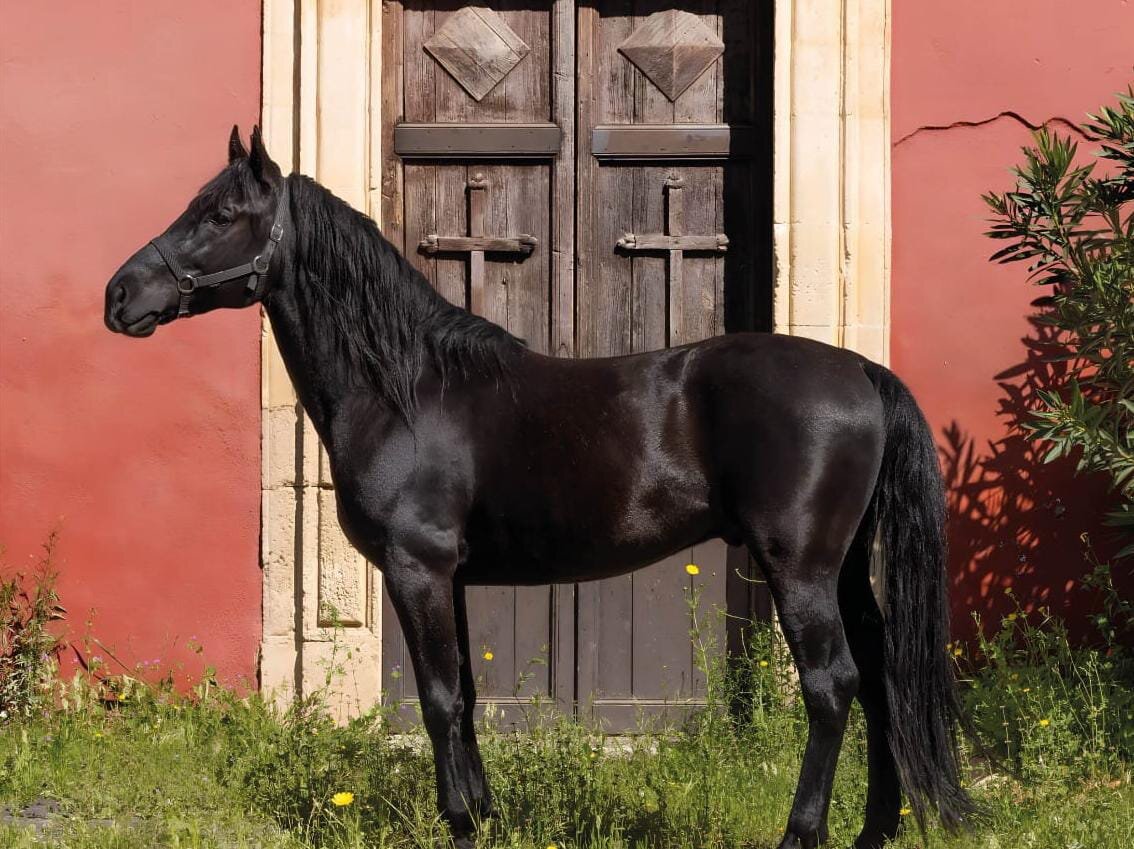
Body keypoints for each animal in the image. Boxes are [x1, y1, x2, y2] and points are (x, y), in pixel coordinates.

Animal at [104, 126, 974, 849]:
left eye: (220, 213)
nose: (120, 295)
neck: (405, 390)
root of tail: (861, 371)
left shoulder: (417, 570)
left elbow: (438, 700)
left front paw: (459, 824)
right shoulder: (448, 576)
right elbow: (466, 697)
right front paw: (486, 818)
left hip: (800, 569)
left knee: (833, 687)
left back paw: (802, 833)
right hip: (844, 568)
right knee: (881, 676)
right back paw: (874, 830)